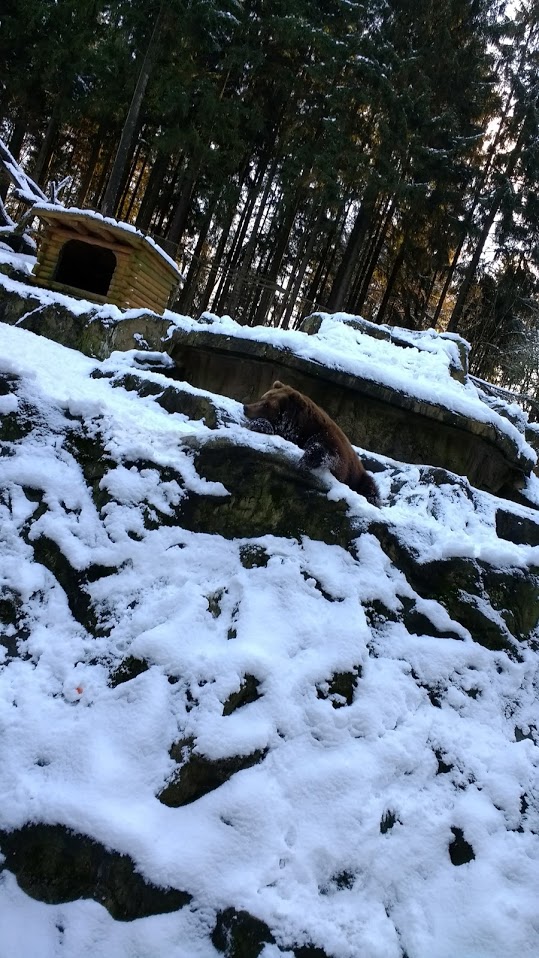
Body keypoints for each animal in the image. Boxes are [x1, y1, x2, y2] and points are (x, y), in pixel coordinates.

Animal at [243, 381, 380, 506]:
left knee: (370, 487)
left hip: (358, 477)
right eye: (263, 398)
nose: (246, 408)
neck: (301, 428)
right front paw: (260, 425)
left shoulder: (327, 438)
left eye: (266, 405)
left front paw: (304, 461)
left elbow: (329, 455)